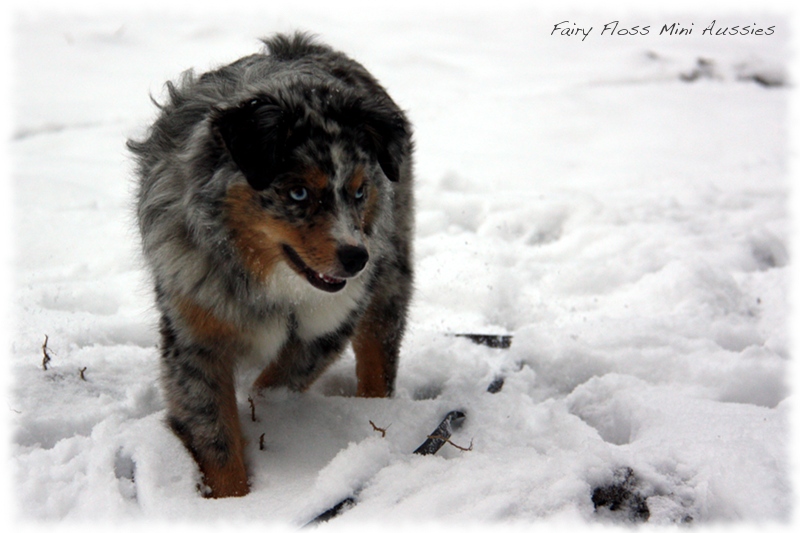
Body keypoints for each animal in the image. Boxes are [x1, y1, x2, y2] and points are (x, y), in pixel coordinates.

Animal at [128, 32, 416, 498]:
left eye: (358, 191)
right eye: (298, 193)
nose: (357, 257)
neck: (265, 281)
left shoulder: (331, 320)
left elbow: (276, 380)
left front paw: (264, 419)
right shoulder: (193, 327)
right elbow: (214, 433)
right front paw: (232, 500)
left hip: (391, 270)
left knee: (378, 351)